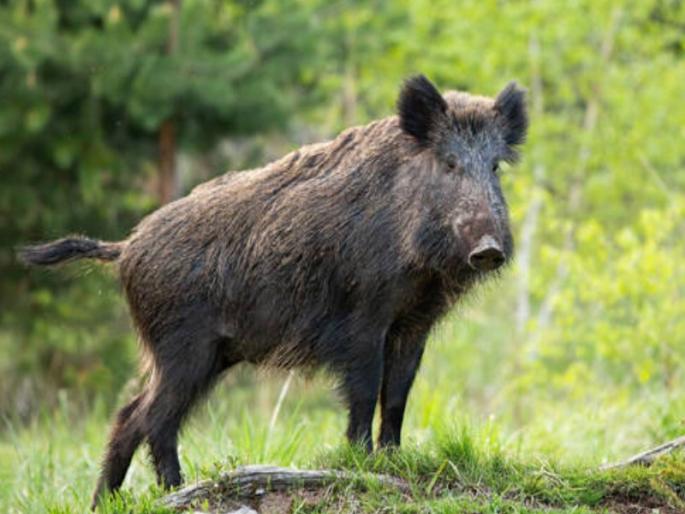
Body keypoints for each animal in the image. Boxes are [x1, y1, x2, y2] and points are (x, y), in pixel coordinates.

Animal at [20, 75, 527, 506]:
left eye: (495, 166)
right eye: (449, 163)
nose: (488, 248)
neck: (418, 268)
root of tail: (125, 247)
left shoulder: (413, 324)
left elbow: (398, 395)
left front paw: (393, 461)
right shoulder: (363, 318)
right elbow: (365, 391)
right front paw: (361, 463)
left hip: (202, 354)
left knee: (131, 415)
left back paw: (112, 501)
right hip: (184, 347)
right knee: (152, 418)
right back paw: (178, 490)